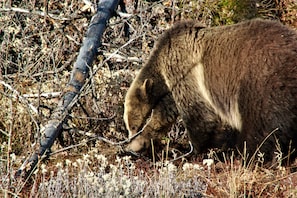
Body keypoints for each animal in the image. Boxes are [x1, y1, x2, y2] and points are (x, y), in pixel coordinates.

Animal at [122, 19, 296, 164]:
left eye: (133, 126)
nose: (129, 138)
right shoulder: (172, 88)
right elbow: (164, 115)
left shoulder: (186, 73)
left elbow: (199, 117)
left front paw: (192, 151)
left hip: (260, 82)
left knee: (260, 126)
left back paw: (251, 156)